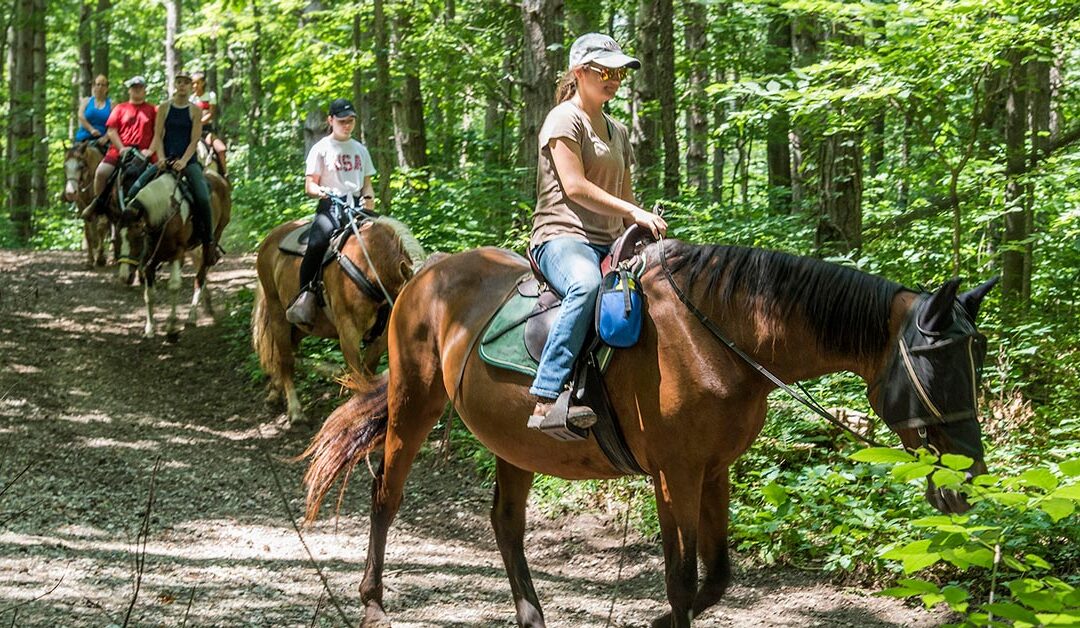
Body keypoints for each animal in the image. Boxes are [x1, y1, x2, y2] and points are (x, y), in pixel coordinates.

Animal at [118, 168, 232, 339]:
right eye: (118, 237)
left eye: (138, 236)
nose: (125, 276)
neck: (166, 213)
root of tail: (219, 177)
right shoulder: (151, 258)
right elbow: (149, 294)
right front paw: (149, 328)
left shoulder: (178, 253)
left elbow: (173, 286)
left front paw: (171, 326)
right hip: (194, 249)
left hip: (213, 237)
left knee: (200, 277)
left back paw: (191, 317)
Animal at [251, 212, 421, 423]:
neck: (371, 268)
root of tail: (270, 237)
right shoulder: (348, 335)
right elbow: (359, 381)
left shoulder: (379, 340)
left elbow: (369, 376)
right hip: (278, 314)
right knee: (286, 358)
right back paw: (295, 410)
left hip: (301, 326)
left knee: (289, 348)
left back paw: (274, 391)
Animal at [300, 241, 989, 626]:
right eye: (935, 363)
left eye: (974, 359)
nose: (968, 485)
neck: (721, 341)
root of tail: (426, 274)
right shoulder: (673, 474)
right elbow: (681, 579)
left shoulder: (713, 470)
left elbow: (715, 577)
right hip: (415, 401)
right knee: (385, 495)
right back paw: (372, 604)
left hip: (512, 439)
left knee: (505, 522)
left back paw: (530, 614)